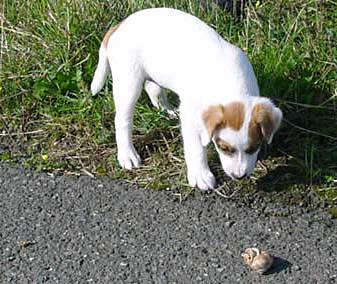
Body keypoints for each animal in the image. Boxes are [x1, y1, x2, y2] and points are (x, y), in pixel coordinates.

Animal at [90, 8, 280, 191]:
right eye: (223, 148)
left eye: (254, 147)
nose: (239, 176)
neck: (230, 84)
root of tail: (120, 25)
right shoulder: (191, 117)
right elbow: (196, 148)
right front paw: (200, 175)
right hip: (128, 82)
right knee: (122, 120)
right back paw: (127, 154)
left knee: (152, 88)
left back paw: (168, 111)